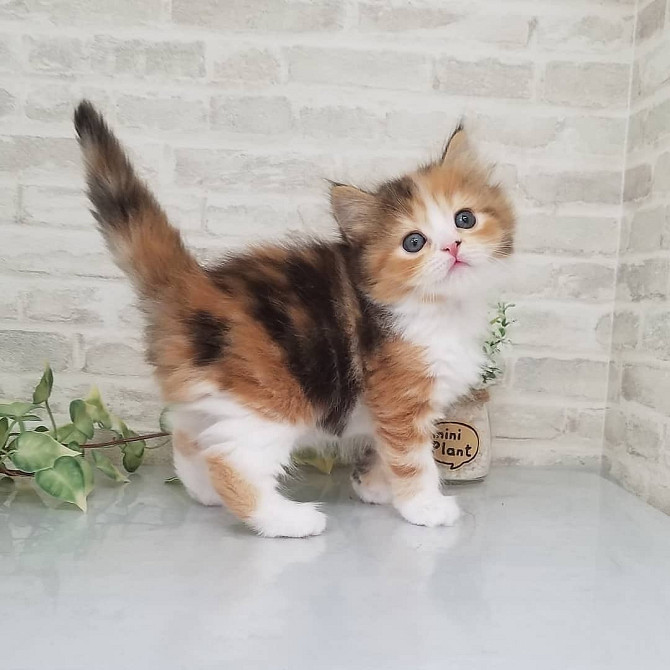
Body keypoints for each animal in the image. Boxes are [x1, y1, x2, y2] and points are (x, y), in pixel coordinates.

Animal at [72, 101, 516, 540]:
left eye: (464, 219)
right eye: (414, 243)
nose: (452, 246)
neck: (442, 308)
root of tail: (191, 285)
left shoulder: (390, 409)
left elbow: (382, 448)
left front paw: (372, 486)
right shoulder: (399, 399)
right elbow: (411, 459)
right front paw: (423, 506)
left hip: (211, 395)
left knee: (187, 436)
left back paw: (204, 493)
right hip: (269, 402)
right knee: (230, 461)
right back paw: (288, 520)